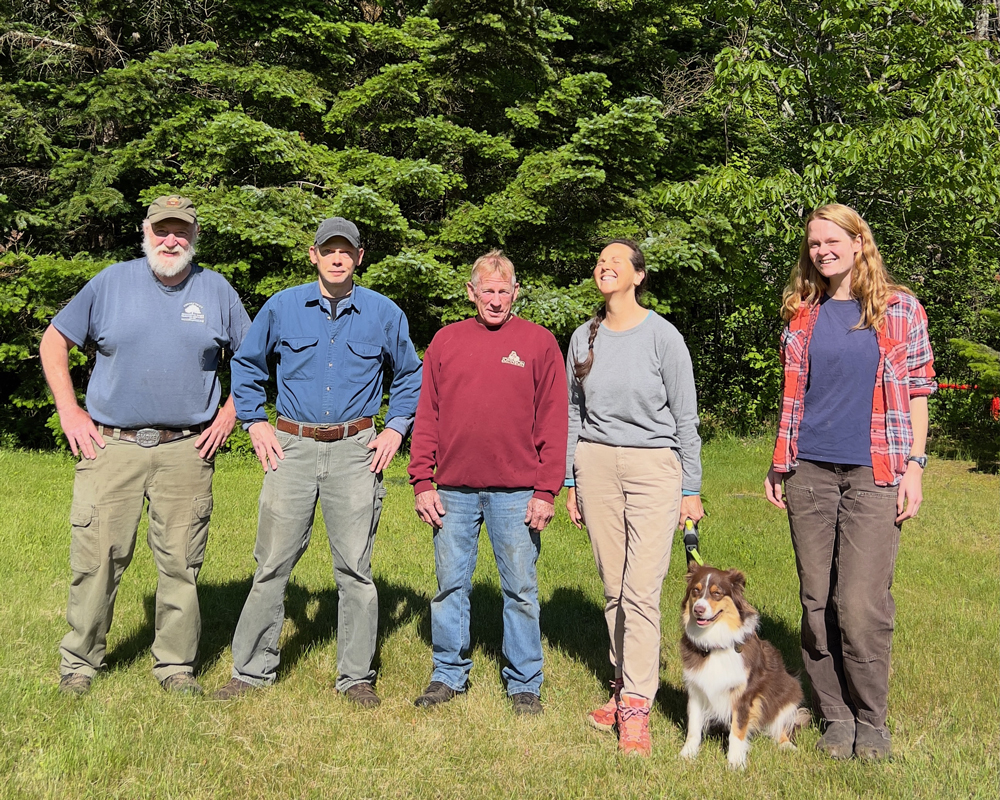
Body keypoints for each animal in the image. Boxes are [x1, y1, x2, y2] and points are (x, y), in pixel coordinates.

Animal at [679, 564, 809, 770]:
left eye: (717, 593)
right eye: (695, 591)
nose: (698, 609)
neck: (715, 643)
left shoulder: (744, 695)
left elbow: (737, 731)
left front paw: (735, 764)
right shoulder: (696, 690)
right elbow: (693, 727)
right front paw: (687, 755)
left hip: (790, 690)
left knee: (782, 723)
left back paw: (786, 745)